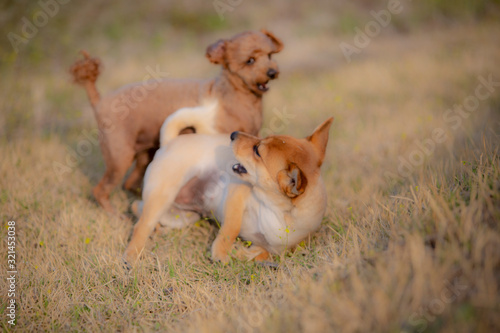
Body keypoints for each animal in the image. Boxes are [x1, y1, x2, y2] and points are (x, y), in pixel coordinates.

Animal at [69, 29, 284, 213]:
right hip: (119, 157)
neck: (233, 97)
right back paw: (113, 213)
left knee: (129, 183)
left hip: (145, 154)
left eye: (270, 56)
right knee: (100, 190)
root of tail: (100, 101)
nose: (273, 72)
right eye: (250, 61)